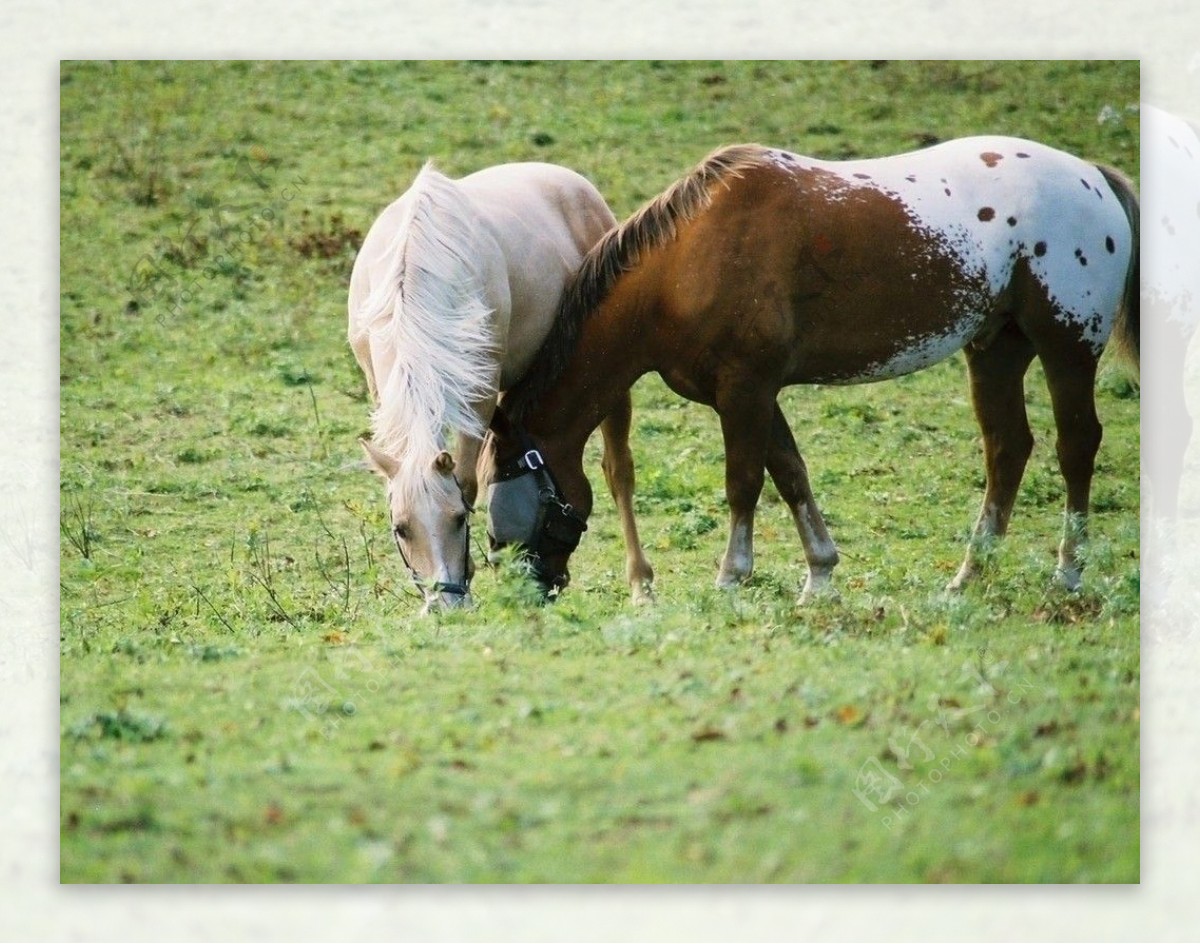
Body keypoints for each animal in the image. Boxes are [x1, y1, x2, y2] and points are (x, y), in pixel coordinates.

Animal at [350, 161, 652, 611]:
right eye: (401, 528)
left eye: (459, 519)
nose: (445, 606)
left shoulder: (479, 398)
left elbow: (468, 482)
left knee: (619, 473)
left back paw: (640, 584)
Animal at [482, 138, 1137, 597]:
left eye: (507, 503)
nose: (533, 590)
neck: (688, 261)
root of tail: (1092, 177)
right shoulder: (753, 393)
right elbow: (791, 473)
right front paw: (819, 575)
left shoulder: (745, 390)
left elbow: (745, 482)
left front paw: (732, 576)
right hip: (996, 349)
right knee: (1007, 450)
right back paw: (969, 576)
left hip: (1067, 347)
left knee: (1076, 446)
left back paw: (1068, 573)